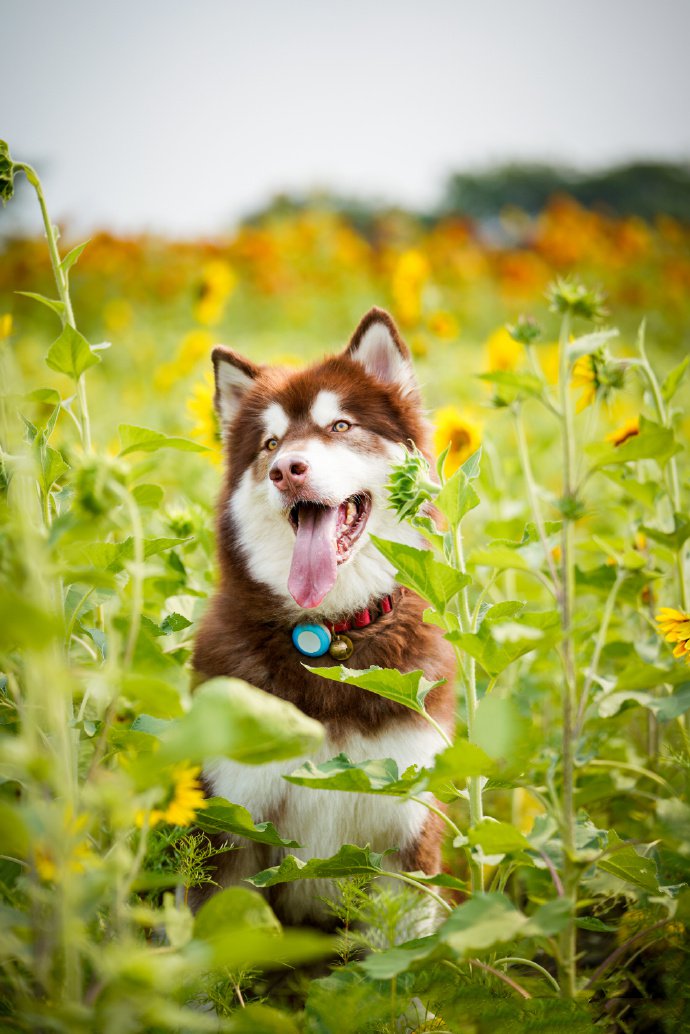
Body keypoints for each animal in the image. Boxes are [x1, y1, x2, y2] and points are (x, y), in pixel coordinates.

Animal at [191, 308, 455, 930]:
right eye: (270, 442)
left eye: (339, 425)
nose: (287, 469)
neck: (331, 638)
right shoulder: (231, 828)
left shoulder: (407, 841)